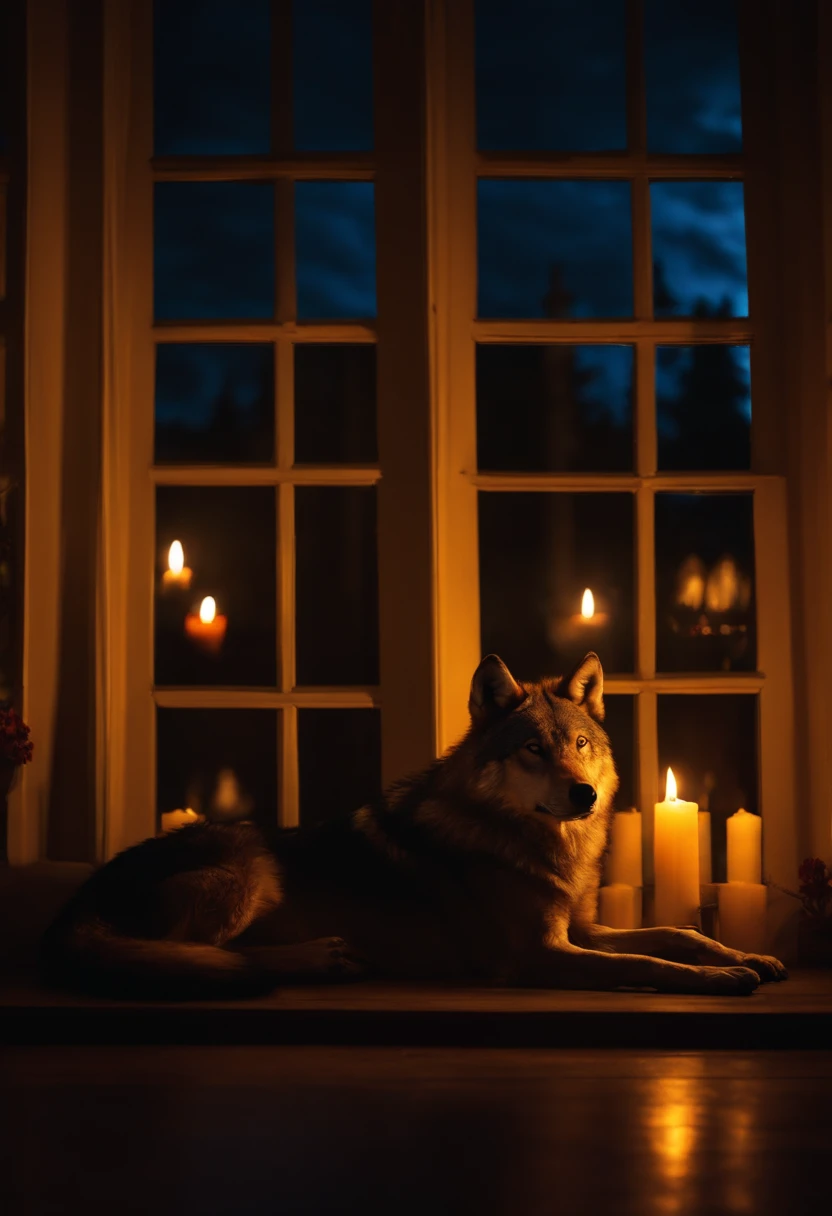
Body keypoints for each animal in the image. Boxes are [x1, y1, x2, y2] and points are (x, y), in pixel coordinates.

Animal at [42, 656, 788, 997]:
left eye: (580, 744)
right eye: (533, 749)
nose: (582, 793)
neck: (521, 839)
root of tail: (75, 906)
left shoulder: (580, 929)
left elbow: (675, 933)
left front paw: (744, 957)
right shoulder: (539, 954)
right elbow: (646, 963)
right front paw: (719, 979)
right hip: (252, 867)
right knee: (204, 956)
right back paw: (318, 958)